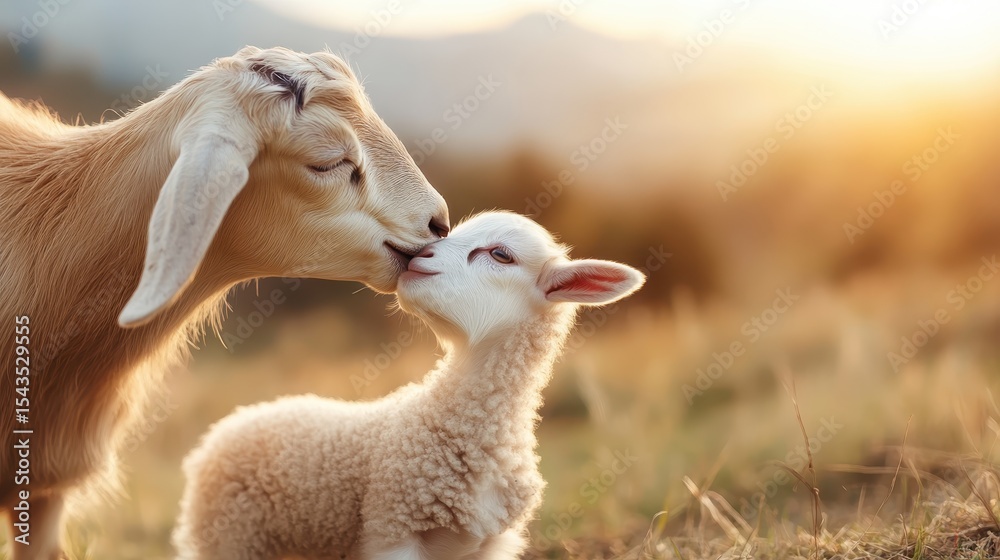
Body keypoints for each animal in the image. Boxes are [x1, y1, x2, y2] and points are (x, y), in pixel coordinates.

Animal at [173, 211, 645, 560]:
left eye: (501, 254)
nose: (420, 253)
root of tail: (228, 426)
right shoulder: (393, 526)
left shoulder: (491, 545)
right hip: (228, 535)